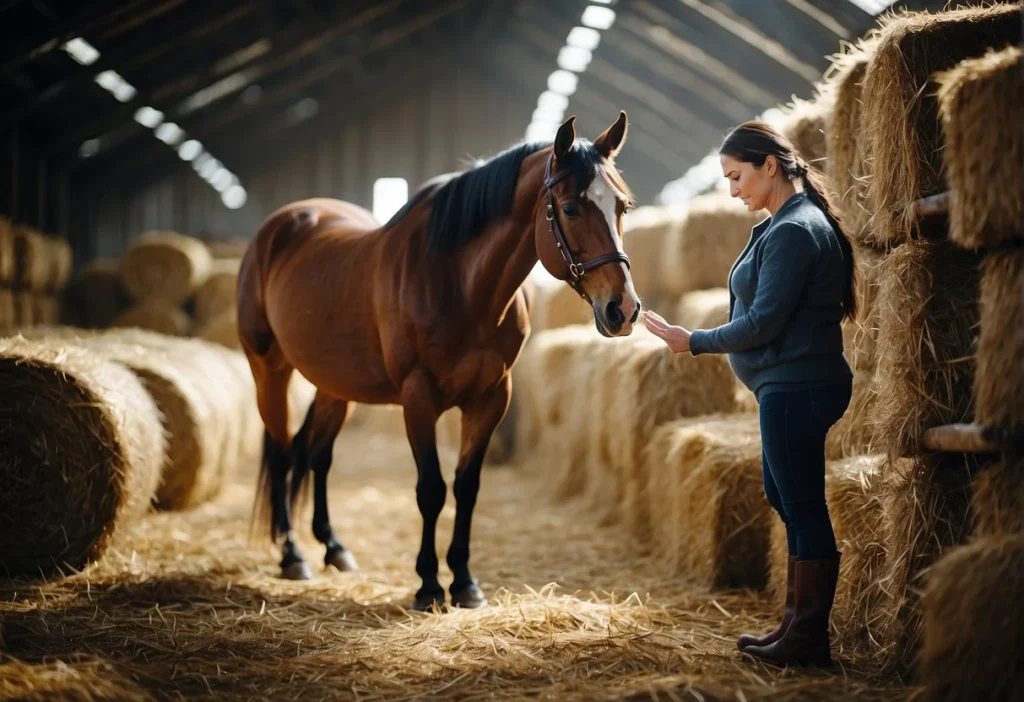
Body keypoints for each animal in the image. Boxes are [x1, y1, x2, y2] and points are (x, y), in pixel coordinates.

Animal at [235, 112, 643, 613]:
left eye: (622, 206)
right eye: (569, 209)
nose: (623, 309)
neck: (460, 283)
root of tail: (279, 227)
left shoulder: (491, 398)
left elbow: (467, 488)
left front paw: (465, 583)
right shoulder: (418, 396)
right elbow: (430, 490)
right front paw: (429, 585)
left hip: (335, 386)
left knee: (317, 456)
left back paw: (334, 548)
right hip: (269, 371)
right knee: (280, 454)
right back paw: (292, 555)